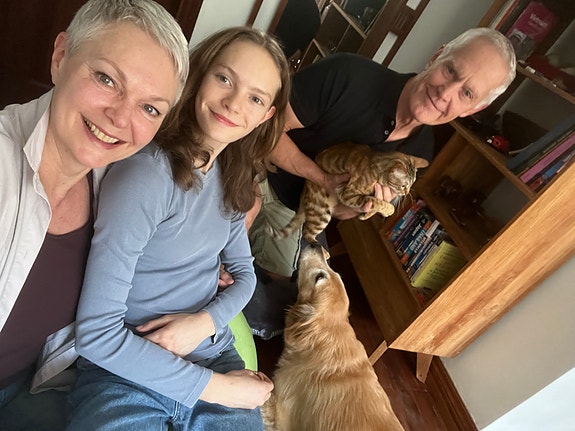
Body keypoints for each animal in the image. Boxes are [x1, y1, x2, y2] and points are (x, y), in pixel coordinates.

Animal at [268, 142, 429, 245]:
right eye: (403, 186)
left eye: (411, 184)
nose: (407, 192)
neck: (375, 168)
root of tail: (304, 192)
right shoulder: (347, 193)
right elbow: (378, 201)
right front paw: (389, 210)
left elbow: (374, 202)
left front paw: (365, 215)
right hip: (322, 213)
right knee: (307, 232)